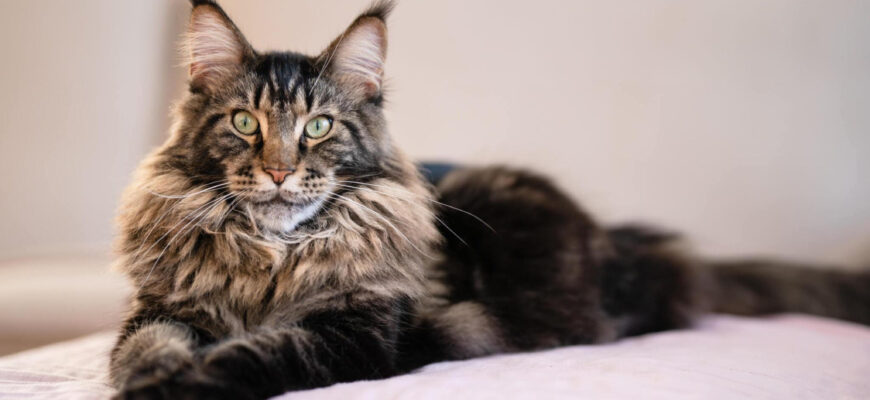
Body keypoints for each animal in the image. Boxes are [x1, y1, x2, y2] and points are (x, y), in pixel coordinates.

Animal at [110, 1, 870, 398]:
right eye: (245, 123)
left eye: (319, 127)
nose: (275, 172)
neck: (269, 256)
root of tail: (623, 239)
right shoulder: (164, 307)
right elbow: (142, 345)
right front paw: (153, 373)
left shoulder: (357, 332)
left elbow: (262, 354)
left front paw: (183, 383)